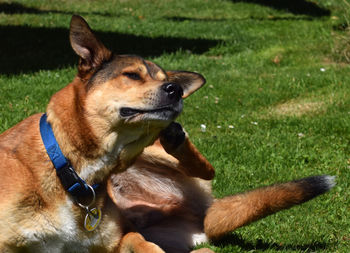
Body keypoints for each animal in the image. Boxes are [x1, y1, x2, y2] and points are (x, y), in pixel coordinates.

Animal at [0, 15, 334, 253]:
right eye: (132, 75)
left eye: (164, 79)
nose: (175, 89)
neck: (74, 173)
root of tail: (203, 212)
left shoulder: (118, 239)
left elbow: (140, 243)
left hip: (158, 161)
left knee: (207, 173)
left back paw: (175, 138)